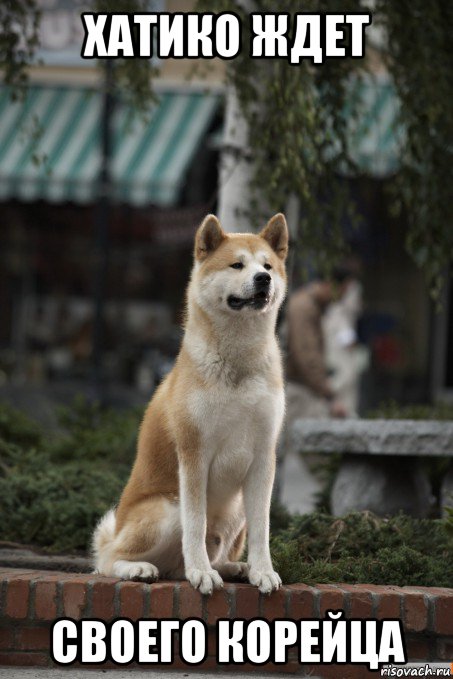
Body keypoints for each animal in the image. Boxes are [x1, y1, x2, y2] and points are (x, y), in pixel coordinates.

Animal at [93, 212, 288, 596]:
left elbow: (262, 530)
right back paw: (142, 568)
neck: (237, 364)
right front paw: (201, 573)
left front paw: (263, 571)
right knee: (108, 560)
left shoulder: (263, 457)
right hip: (167, 508)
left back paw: (235, 568)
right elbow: (195, 526)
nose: (263, 279)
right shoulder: (194, 454)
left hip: (236, 509)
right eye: (237, 264)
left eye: (268, 266)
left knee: (203, 558)